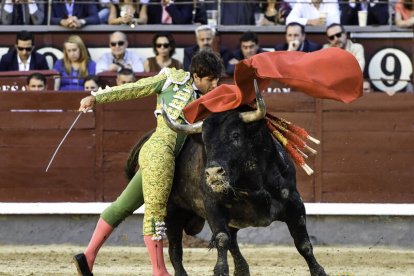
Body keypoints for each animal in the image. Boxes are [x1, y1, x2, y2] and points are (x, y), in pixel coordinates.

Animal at [126, 102, 326, 274]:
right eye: (205, 141)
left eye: (235, 135)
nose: (213, 173)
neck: (250, 182)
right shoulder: (213, 207)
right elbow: (222, 240)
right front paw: (220, 270)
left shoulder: (295, 204)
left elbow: (304, 244)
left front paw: (319, 271)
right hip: (172, 213)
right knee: (175, 251)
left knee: (233, 242)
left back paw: (242, 270)